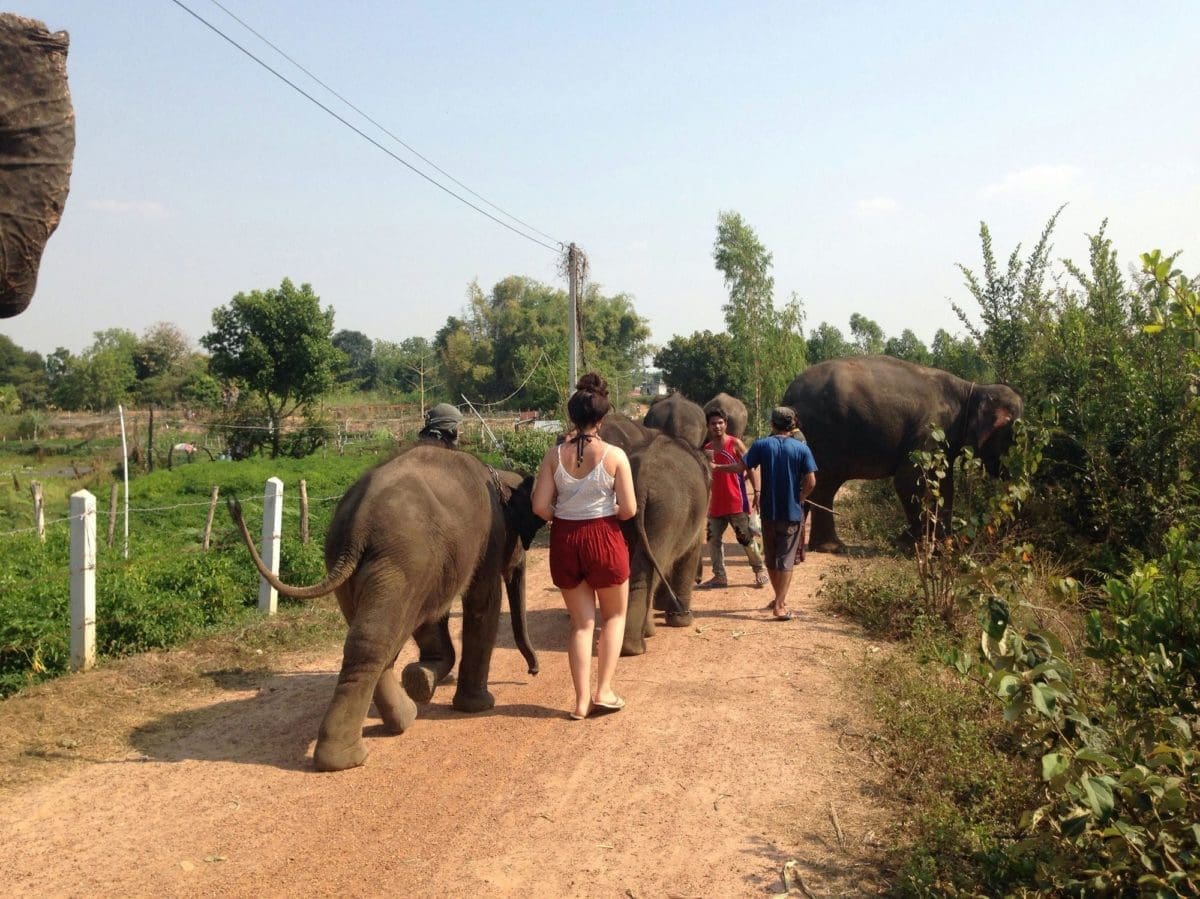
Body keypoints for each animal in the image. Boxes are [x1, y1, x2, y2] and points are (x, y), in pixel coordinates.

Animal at [228, 446, 544, 772]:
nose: (533, 672)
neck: (498, 475)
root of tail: (358, 524)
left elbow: (432, 616)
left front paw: (423, 679)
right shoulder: (488, 539)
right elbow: (482, 602)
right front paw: (478, 705)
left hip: (373, 565)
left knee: (372, 638)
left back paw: (401, 717)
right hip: (403, 560)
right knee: (380, 638)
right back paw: (348, 757)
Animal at [782, 355, 1027, 549]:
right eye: (1013, 438)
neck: (972, 390)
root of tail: (788, 395)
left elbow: (944, 484)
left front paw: (943, 544)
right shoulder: (932, 428)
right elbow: (908, 479)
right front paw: (912, 545)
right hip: (825, 435)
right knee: (825, 485)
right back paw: (832, 547)